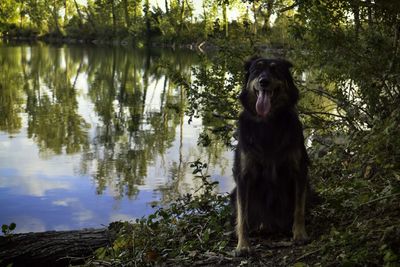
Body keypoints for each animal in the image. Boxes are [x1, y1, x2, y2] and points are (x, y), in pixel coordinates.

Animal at [231, 57, 310, 255]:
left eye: (275, 70)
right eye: (257, 70)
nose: (263, 82)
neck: (268, 122)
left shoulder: (300, 171)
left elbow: (299, 209)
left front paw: (299, 234)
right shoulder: (243, 176)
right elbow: (242, 215)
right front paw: (243, 245)